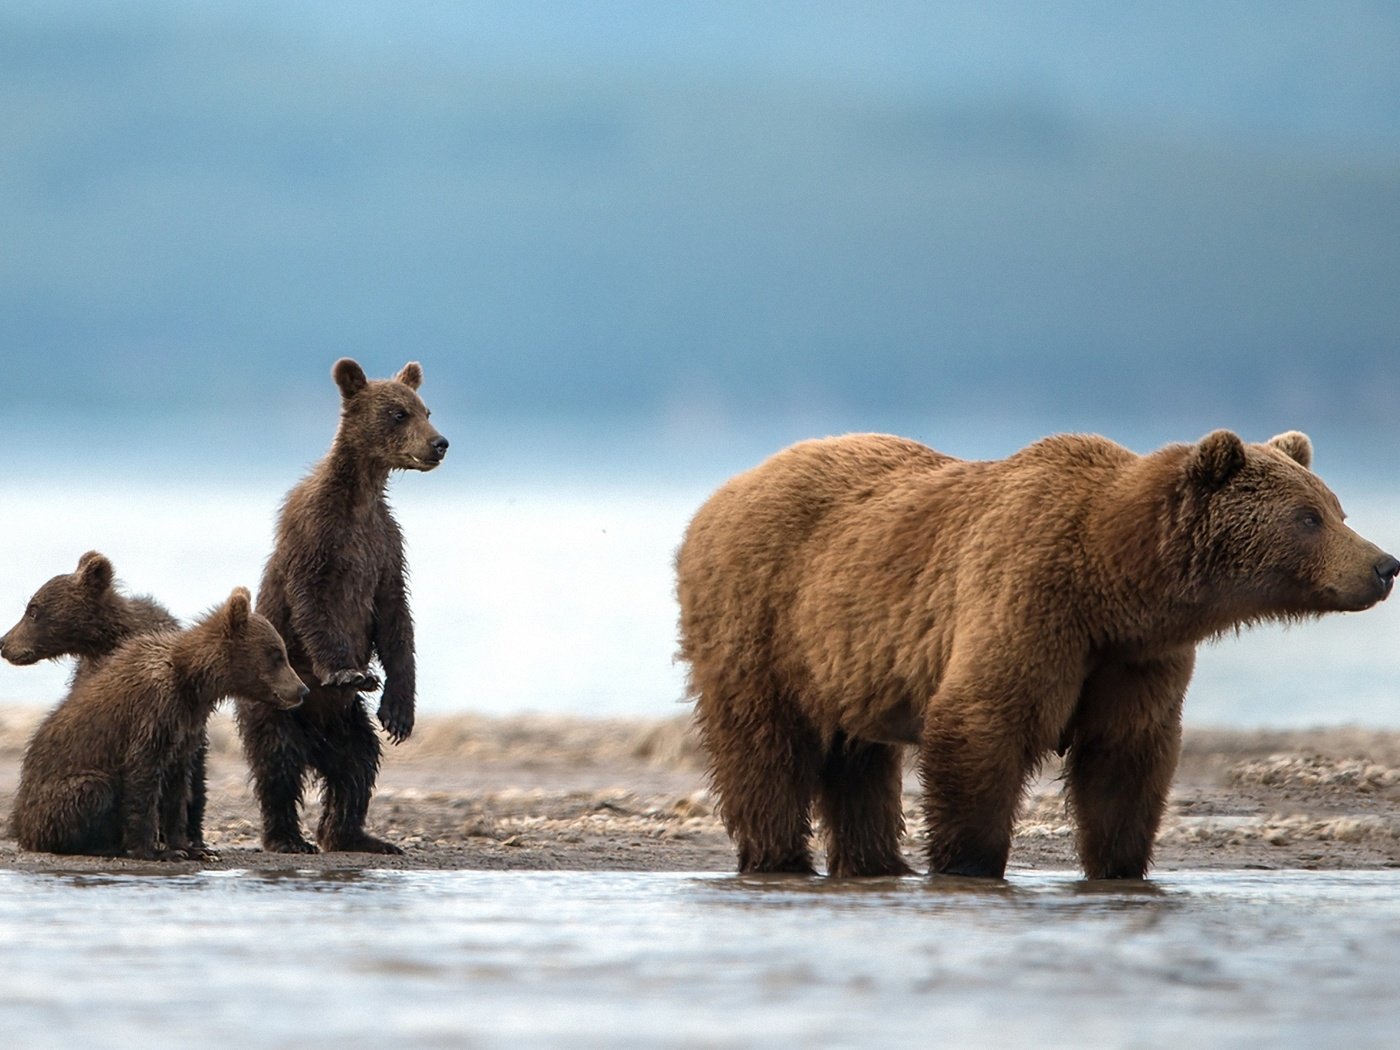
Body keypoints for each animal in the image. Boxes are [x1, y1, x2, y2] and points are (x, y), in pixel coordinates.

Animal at [672, 428, 1394, 879]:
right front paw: (968, 863)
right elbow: (980, 727)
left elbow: (1126, 760)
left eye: (1337, 508)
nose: (1385, 565)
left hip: (848, 652)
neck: (1114, 580)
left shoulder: (1133, 660)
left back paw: (876, 862)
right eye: (1307, 517)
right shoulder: (1029, 601)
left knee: (859, 759)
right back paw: (777, 855)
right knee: (763, 747)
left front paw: (1120, 865)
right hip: (762, 618)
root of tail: (720, 494)